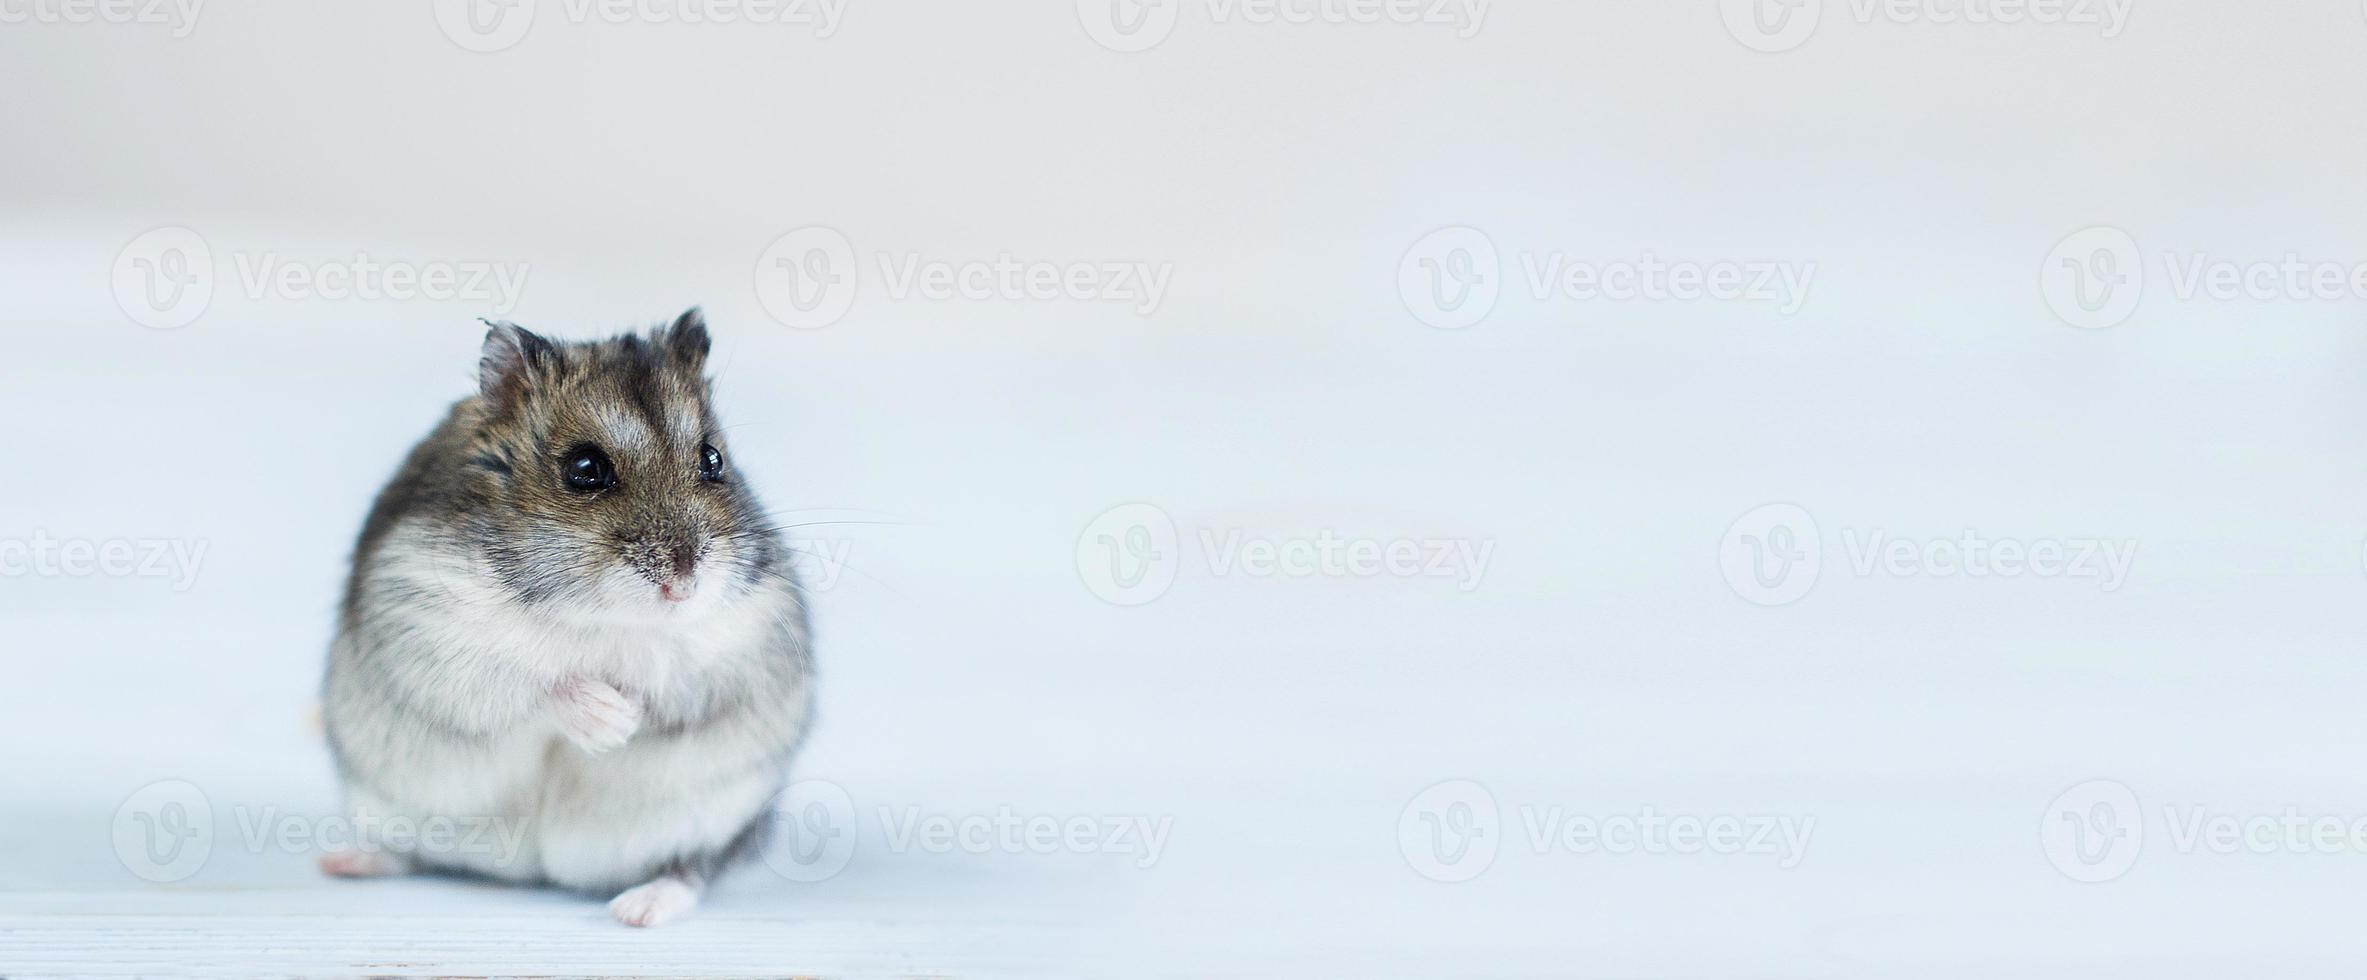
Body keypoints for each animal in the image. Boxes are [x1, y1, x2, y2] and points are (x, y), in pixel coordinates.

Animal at [319, 307, 814, 927]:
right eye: (584, 468)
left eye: (713, 460)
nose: (682, 585)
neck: (599, 615)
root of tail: (536, 872)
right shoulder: (435, 639)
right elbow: (535, 690)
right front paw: (608, 719)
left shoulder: (738, 647)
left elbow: (667, 686)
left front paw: (627, 715)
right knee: (411, 854)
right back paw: (341, 862)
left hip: (717, 820)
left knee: (690, 869)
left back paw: (639, 910)